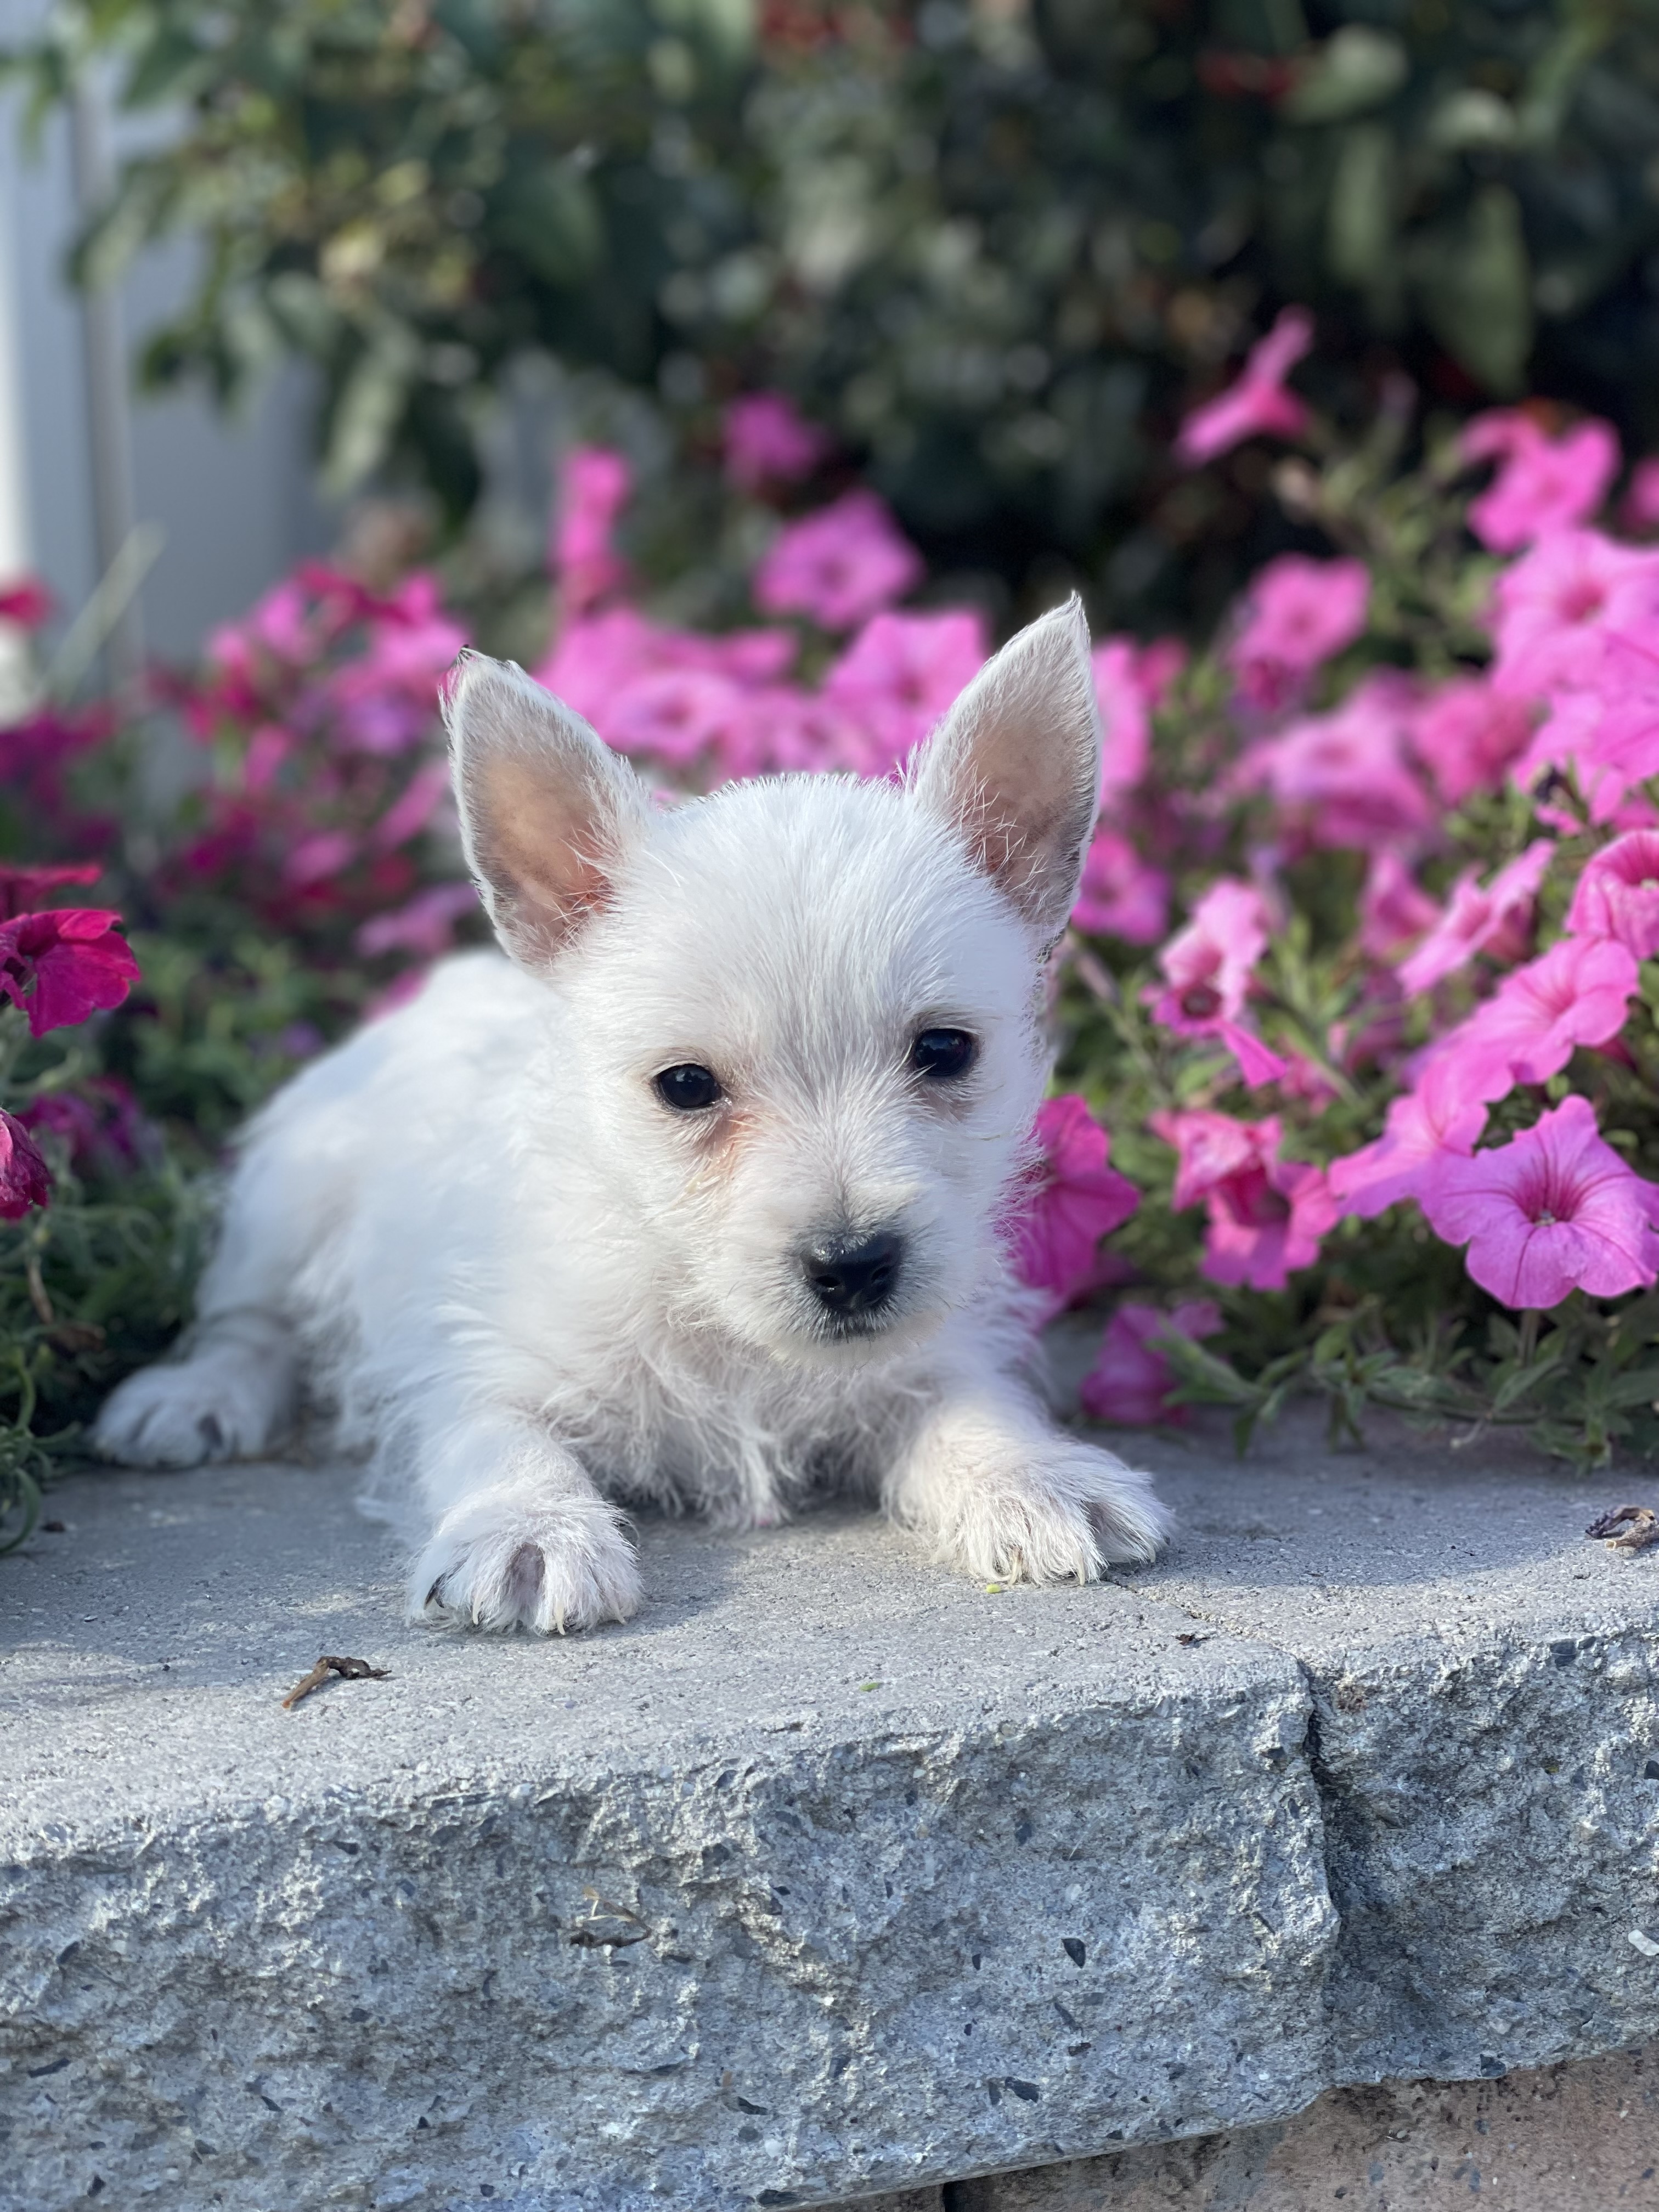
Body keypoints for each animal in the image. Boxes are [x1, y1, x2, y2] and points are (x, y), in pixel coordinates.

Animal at [97, 597, 1177, 1637]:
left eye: (945, 1051)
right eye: (686, 1085)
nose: (854, 1265)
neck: (720, 1326)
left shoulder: (935, 1351)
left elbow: (972, 1406)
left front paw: (1033, 1474)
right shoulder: (478, 1361)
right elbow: (499, 1440)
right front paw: (529, 1529)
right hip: (289, 1192)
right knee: (247, 1319)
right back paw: (193, 1398)